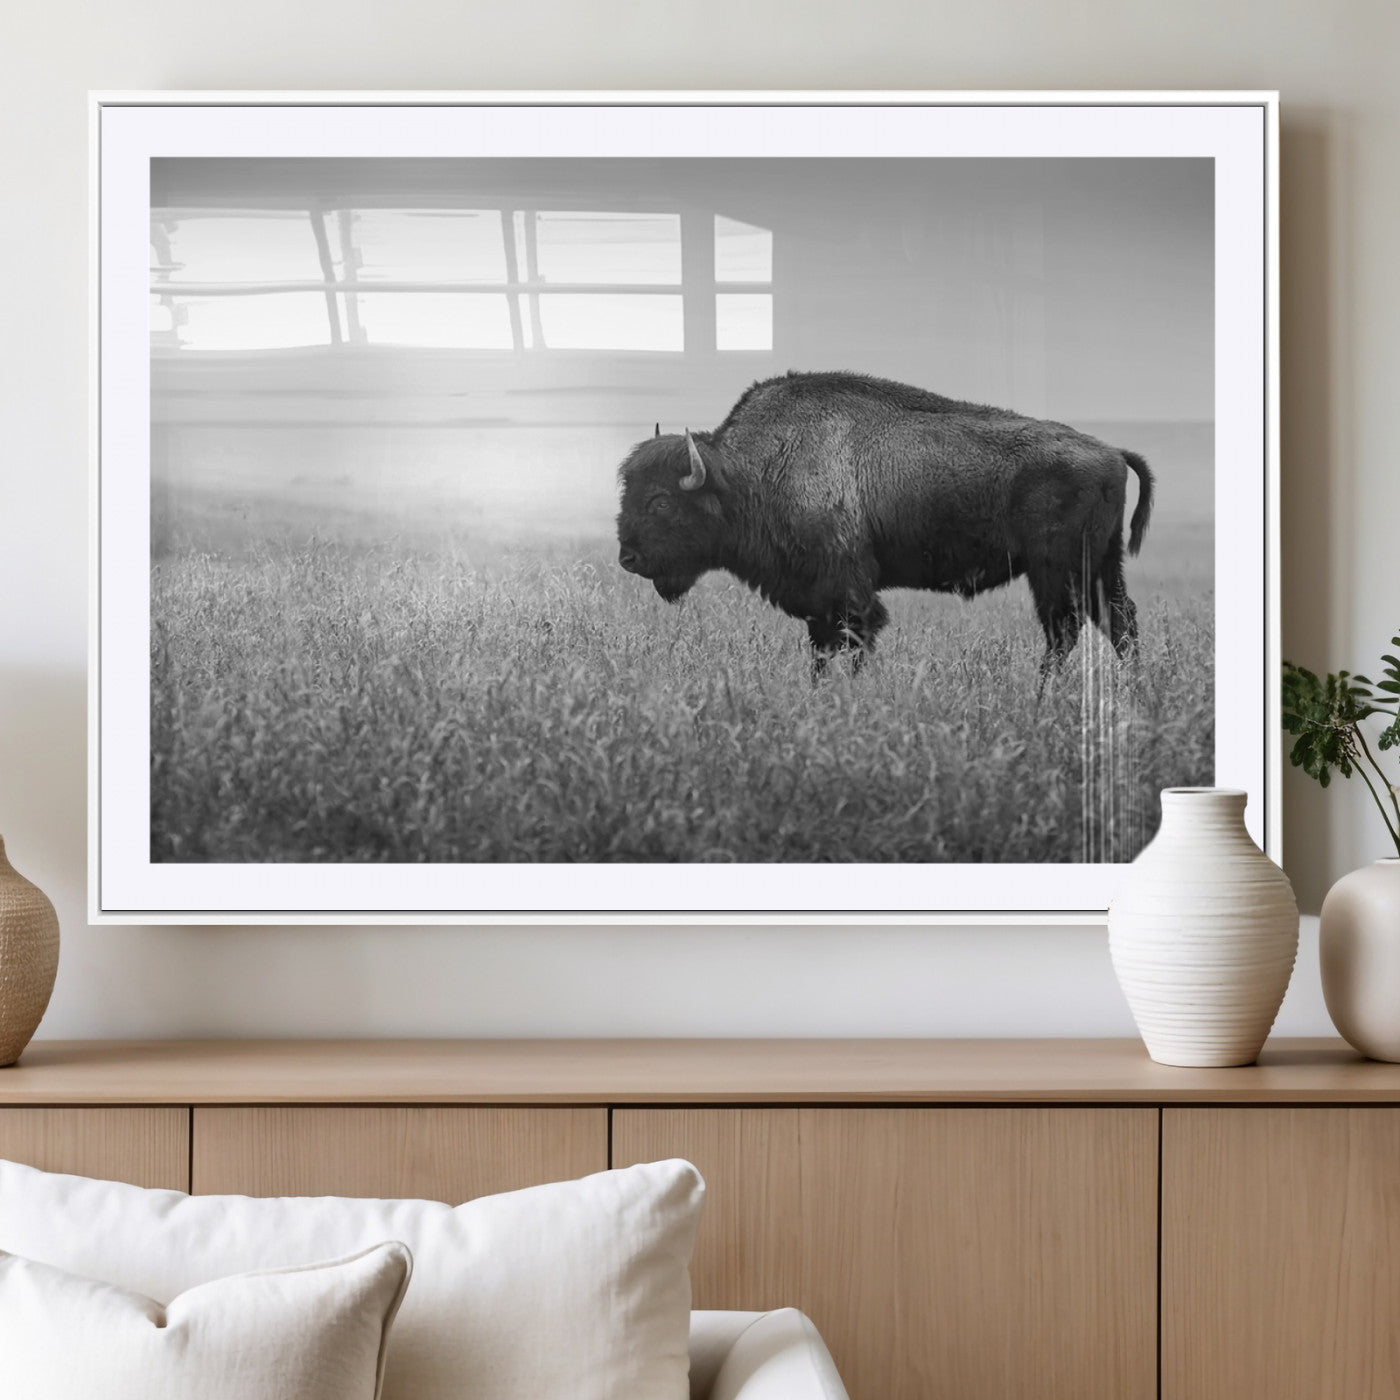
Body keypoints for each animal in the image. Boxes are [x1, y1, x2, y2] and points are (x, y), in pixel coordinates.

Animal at [615, 371, 1154, 675]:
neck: (749, 472)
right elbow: (821, 652)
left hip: (1056, 571)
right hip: (1102, 565)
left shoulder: (848, 593)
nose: (628, 558)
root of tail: (1111, 451)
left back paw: (1044, 696)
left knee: (1065, 630)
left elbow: (853, 642)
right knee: (1119, 622)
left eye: (661, 501)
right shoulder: (819, 603)